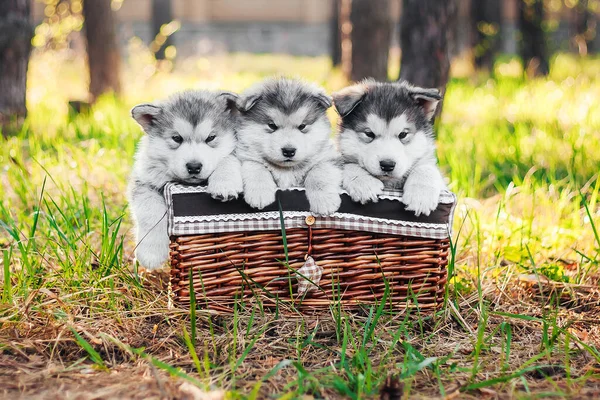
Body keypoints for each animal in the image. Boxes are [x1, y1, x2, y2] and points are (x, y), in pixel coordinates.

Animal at [128, 90, 241, 270]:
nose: (194, 166)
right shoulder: (144, 181)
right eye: (176, 138)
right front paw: (151, 253)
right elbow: (150, 211)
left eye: (211, 137)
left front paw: (225, 183)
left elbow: (229, 157)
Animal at [237, 78, 344, 216]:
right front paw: (259, 193)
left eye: (302, 126)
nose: (289, 151)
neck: (286, 170)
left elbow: (319, 173)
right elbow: (256, 167)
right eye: (272, 125)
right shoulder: (245, 156)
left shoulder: (328, 158)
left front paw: (324, 201)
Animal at [332, 78, 446, 216]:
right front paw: (364, 183)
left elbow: (426, 168)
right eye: (369, 134)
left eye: (403, 134)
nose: (387, 165)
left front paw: (421, 196)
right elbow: (346, 164)